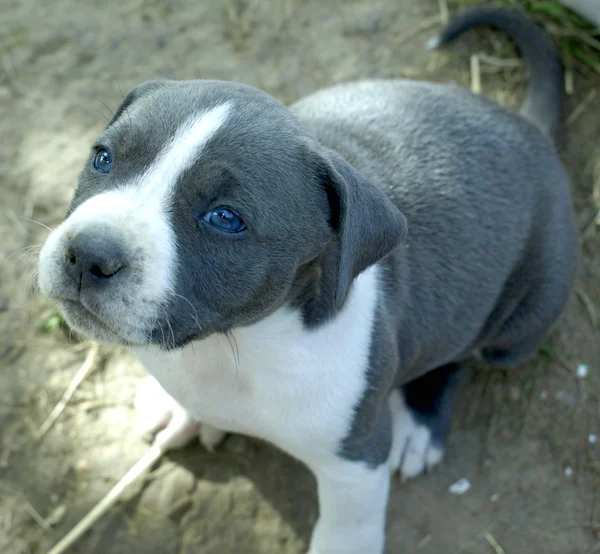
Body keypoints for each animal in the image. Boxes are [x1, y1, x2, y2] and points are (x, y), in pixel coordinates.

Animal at [37, 8, 576, 552]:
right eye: (103, 158)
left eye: (225, 218)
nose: (87, 254)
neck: (236, 345)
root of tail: (527, 127)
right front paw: (180, 408)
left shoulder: (356, 460)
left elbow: (347, 525)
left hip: (515, 327)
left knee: (461, 353)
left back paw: (418, 425)